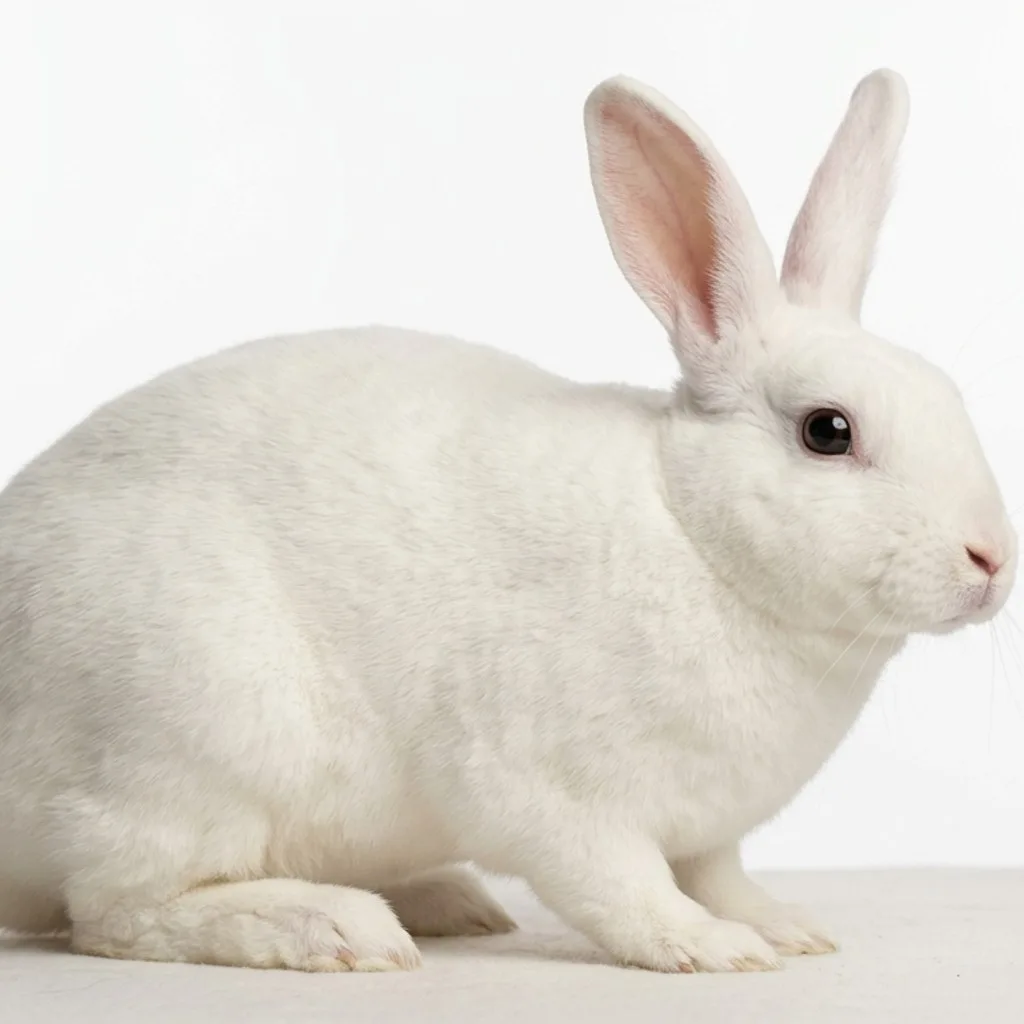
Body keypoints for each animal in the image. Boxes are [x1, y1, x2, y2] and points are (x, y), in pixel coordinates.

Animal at [0, 67, 1016, 976]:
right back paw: (336, 929)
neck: (697, 537)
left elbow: (720, 876)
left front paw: (787, 929)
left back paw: (446, 900)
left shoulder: (709, 833)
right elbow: (626, 890)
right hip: (197, 738)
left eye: (949, 396)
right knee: (118, 913)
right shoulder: (555, 793)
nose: (993, 561)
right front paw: (712, 949)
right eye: (828, 431)